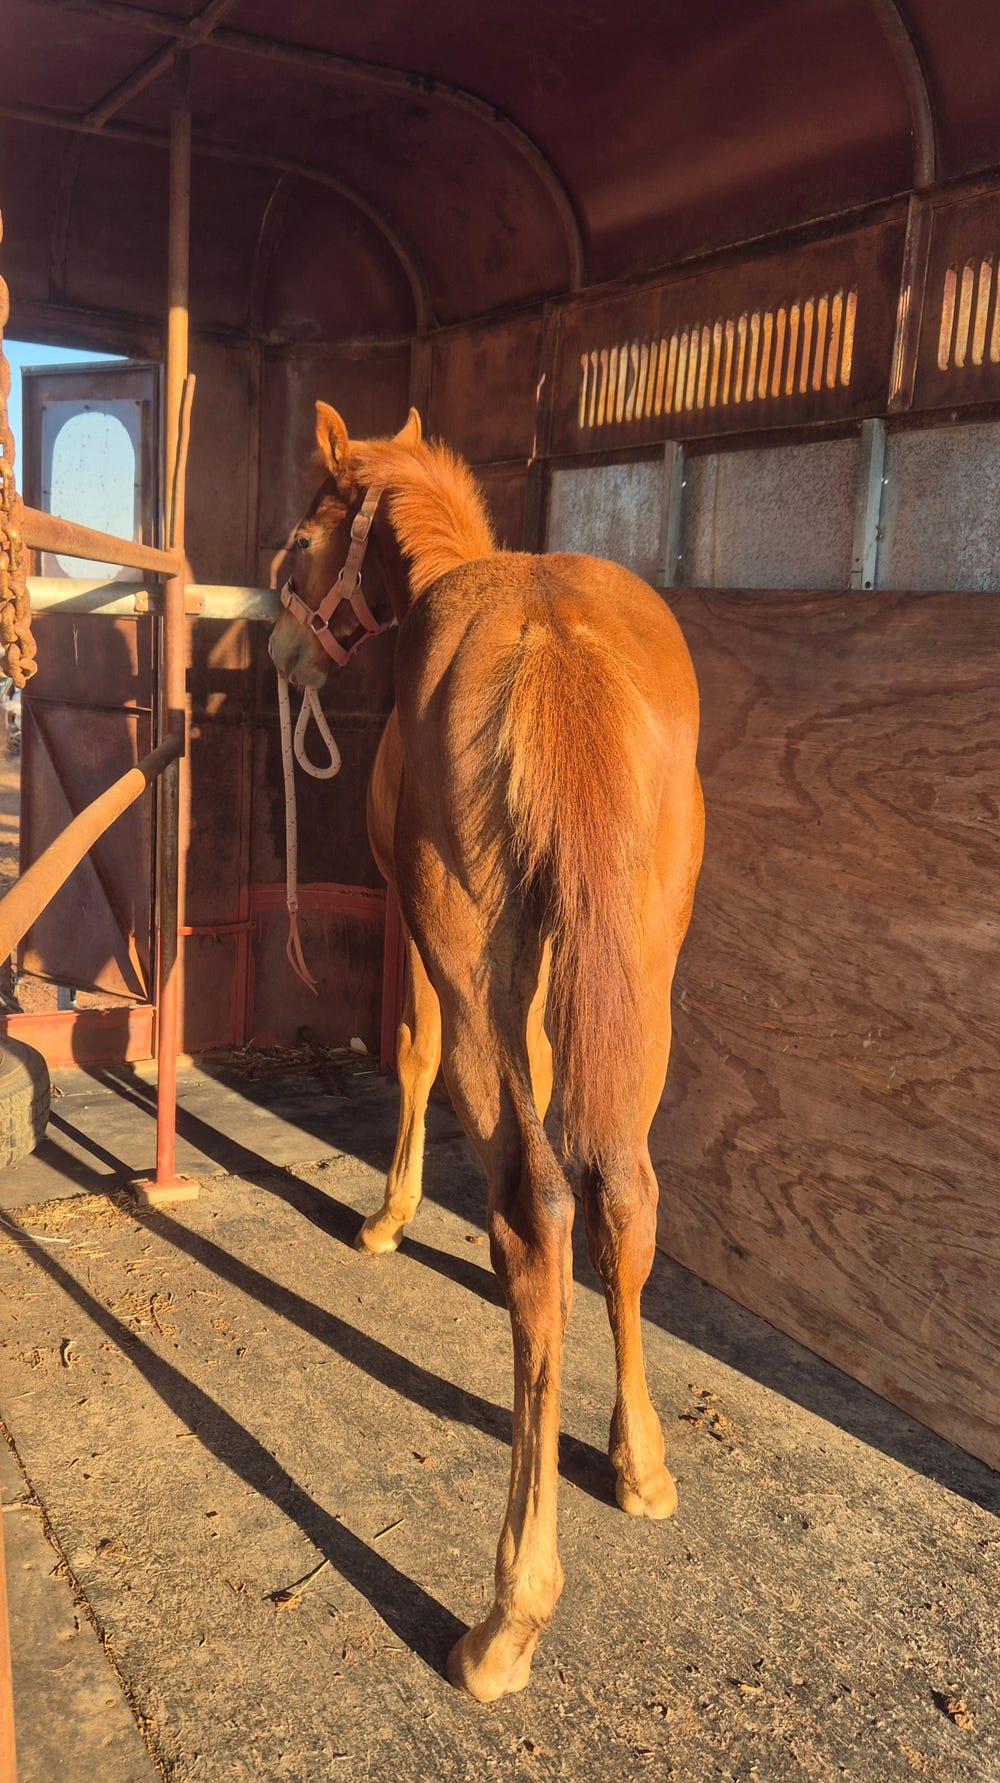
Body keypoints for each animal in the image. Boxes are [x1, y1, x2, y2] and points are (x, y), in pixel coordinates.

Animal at [268, 402, 705, 1703]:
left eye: (301, 534)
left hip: (470, 952)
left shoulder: (419, 937)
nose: (281, 650)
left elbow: (409, 1058)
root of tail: (558, 650)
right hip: (640, 970)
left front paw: (387, 1218)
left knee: (532, 1203)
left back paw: (507, 1614)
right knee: (620, 1188)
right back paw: (638, 1465)